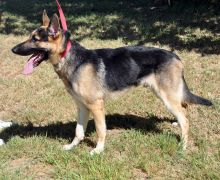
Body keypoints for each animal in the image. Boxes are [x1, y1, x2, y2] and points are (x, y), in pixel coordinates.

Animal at [11, 11, 212, 155]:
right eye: (30, 36)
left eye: (35, 39)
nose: (13, 49)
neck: (70, 58)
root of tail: (175, 56)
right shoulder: (81, 106)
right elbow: (78, 131)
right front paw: (71, 147)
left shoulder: (96, 106)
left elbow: (101, 130)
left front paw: (98, 150)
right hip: (167, 96)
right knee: (184, 109)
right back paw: (177, 125)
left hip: (167, 97)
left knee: (185, 118)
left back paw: (183, 146)